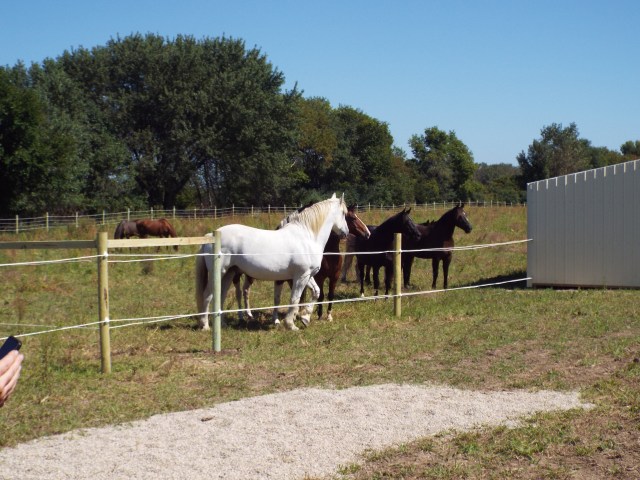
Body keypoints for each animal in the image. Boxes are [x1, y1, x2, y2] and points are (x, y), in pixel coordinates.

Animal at [195, 194, 350, 331]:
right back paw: (205, 326)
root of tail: (210, 236)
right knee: (208, 295)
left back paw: (222, 324)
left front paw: (305, 318)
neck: (307, 237)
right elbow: (295, 299)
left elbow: (315, 292)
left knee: (221, 295)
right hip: (219, 273)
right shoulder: (301, 276)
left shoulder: (307, 275)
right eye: (343, 213)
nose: (346, 233)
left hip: (229, 273)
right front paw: (290, 324)